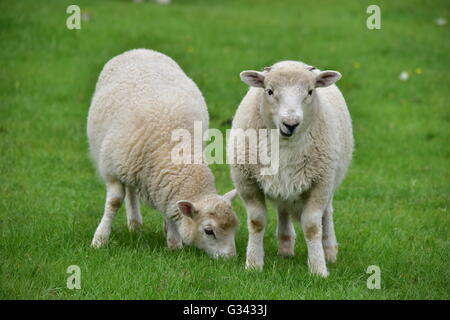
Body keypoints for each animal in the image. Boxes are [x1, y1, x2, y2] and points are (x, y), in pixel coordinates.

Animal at [85, 48, 237, 258]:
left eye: (234, 228)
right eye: (209, 231)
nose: (230, 258)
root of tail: (140, 50)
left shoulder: (164, 182)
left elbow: (169, 207)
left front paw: (173, 242)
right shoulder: (112, 170)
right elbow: (114, 202)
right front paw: (99, 239)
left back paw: (136, 224)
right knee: (129, 192)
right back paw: (134, 223)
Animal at [229, 61, 356, 276]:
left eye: (310, 91)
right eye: (269, 91)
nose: (291, 124)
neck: (285, 145)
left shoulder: (320, 183)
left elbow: (313, 227)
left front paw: (318, 269)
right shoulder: (247, 181)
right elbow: (257, 222)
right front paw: (253, 264)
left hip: (331, 180)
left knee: (327, 214)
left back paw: (329, 250)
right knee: (283, 209)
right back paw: (285, 246)